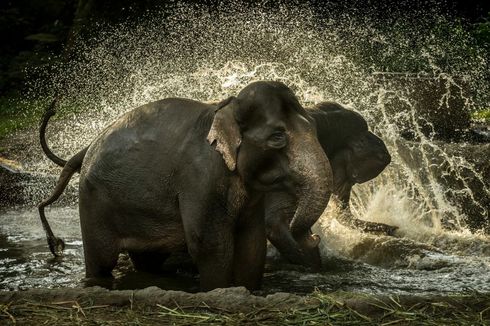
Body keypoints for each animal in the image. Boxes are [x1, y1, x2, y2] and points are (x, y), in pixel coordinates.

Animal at [38, 81, 334, 290]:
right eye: (277, 137)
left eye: (314, 127)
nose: (313, 237)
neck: (225, 107)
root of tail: (89, 145)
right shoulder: (199, 178)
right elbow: (210, 245)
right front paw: (216, 292)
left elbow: (252, 243)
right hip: (94, 201)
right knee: (101, 261)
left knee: (147, 260)